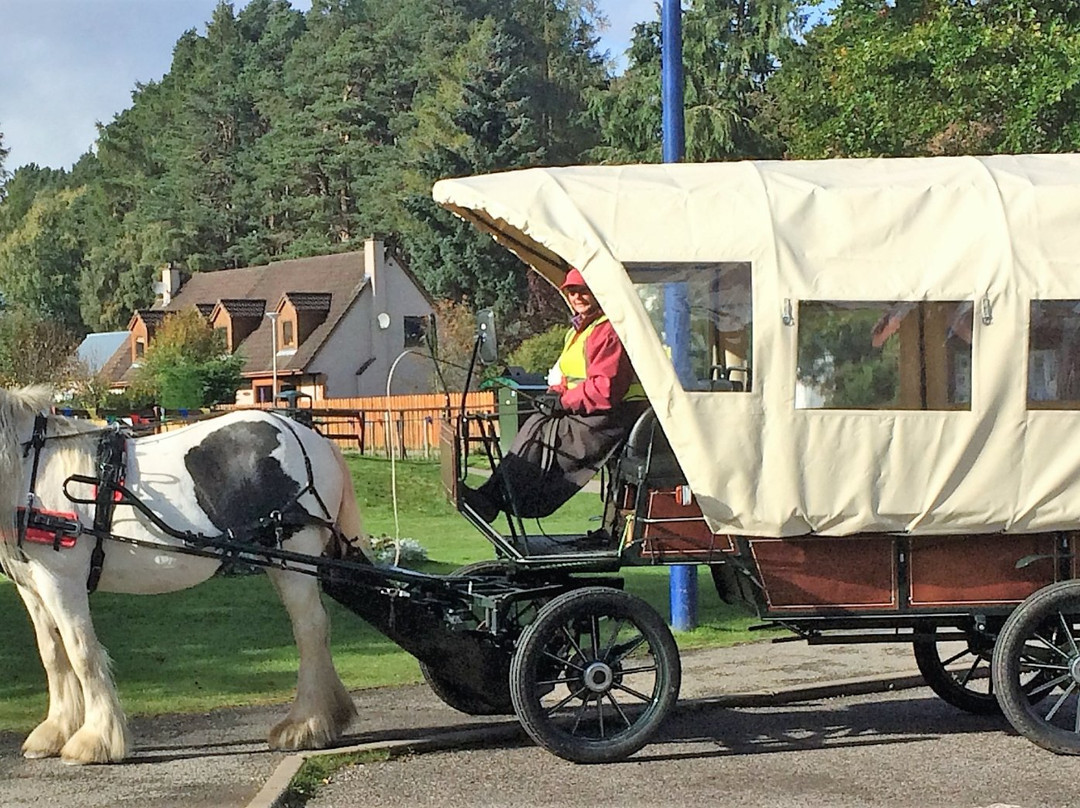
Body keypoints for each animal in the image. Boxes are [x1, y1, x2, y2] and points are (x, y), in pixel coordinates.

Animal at [0, 384, 371, 764]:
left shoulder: (62, 578)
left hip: (297, 557)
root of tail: (313, 438)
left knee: (310, 630)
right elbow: (52, 653)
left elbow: (81, 652)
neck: (31, 466)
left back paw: (305, 725)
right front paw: (54, 732)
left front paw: (95, 740)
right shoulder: (33, 585)